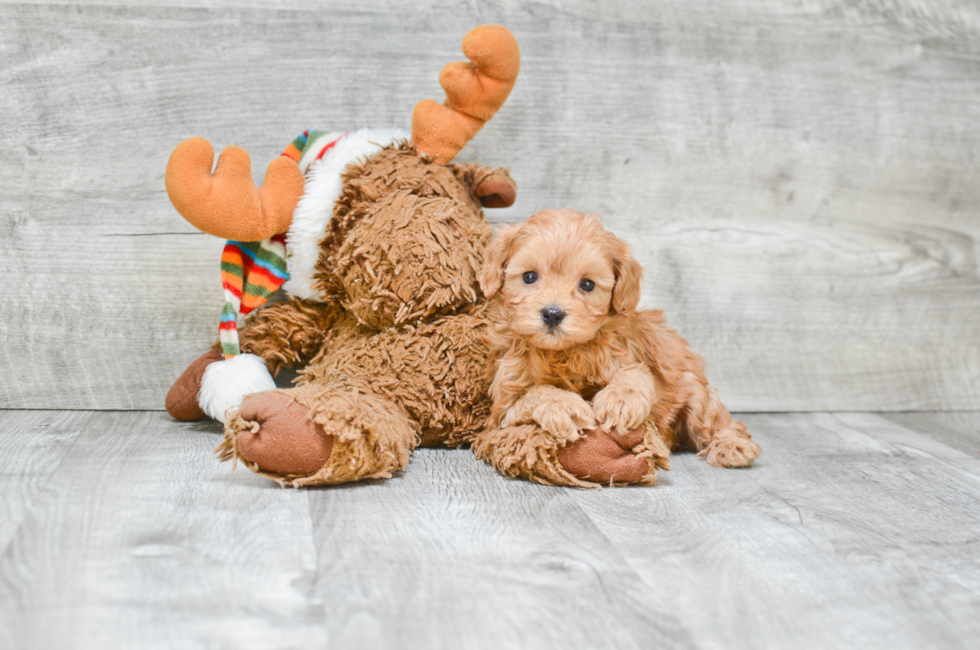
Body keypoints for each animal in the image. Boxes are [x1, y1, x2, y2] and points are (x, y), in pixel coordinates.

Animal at [470, 209, 760, 486]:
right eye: (529, 277)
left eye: (587, 284)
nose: (552, 313)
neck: (564, 352)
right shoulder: (502, 407)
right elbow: (533, 394)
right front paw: (563, 406)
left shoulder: (631, 357)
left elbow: (635, 375)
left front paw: (620, 401)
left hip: (697, 394)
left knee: (721, 423)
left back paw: (733, 446)